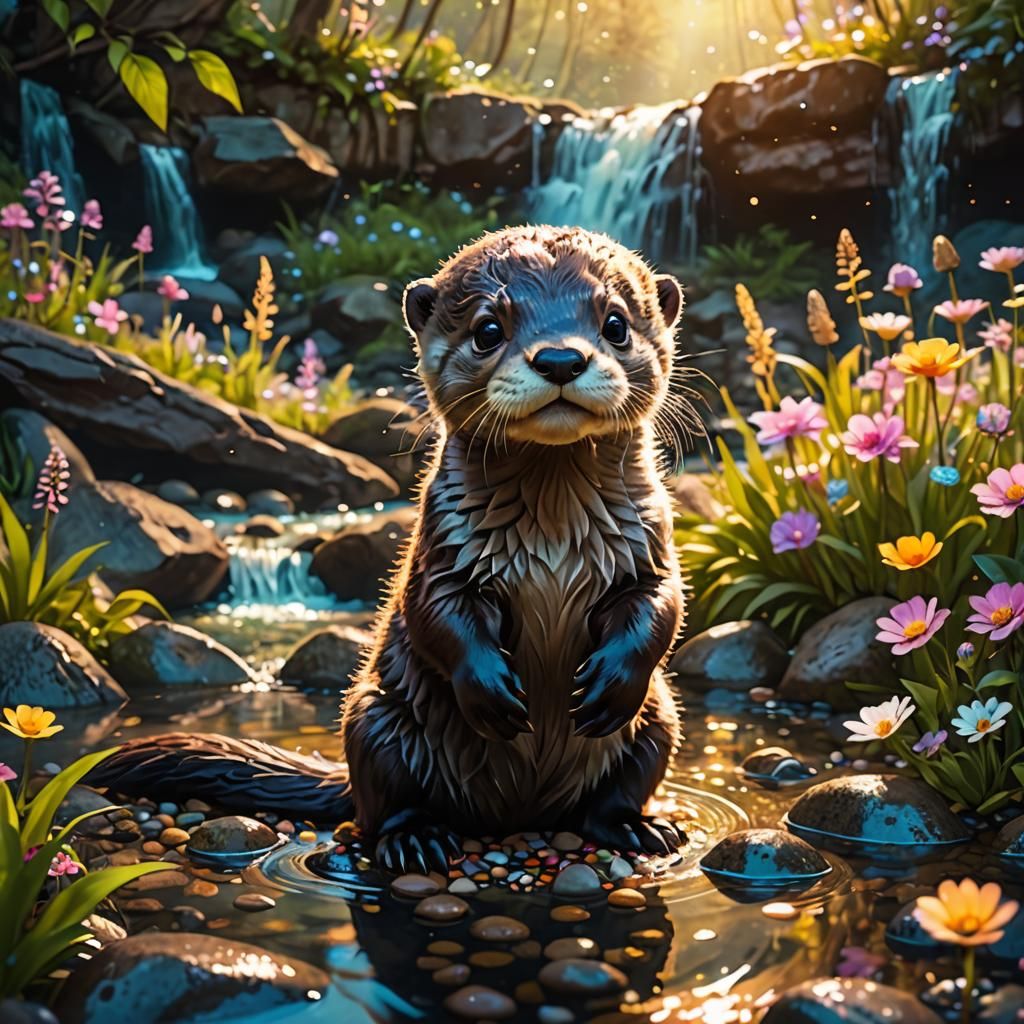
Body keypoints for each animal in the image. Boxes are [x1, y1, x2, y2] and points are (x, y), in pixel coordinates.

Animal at [91, 225, 693, 873]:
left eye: (616, 323)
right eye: (488, 329)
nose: (560, 358)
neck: (553, 539)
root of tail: (517, 817)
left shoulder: (649, 542)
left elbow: (661, 605)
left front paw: (611, 684)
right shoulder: (443, 552)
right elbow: (437, 614)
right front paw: (493, 693)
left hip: (661, 719)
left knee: (616, 791)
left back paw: (638, 827)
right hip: (374, 717)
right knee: (380, 808)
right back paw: (416, 839)